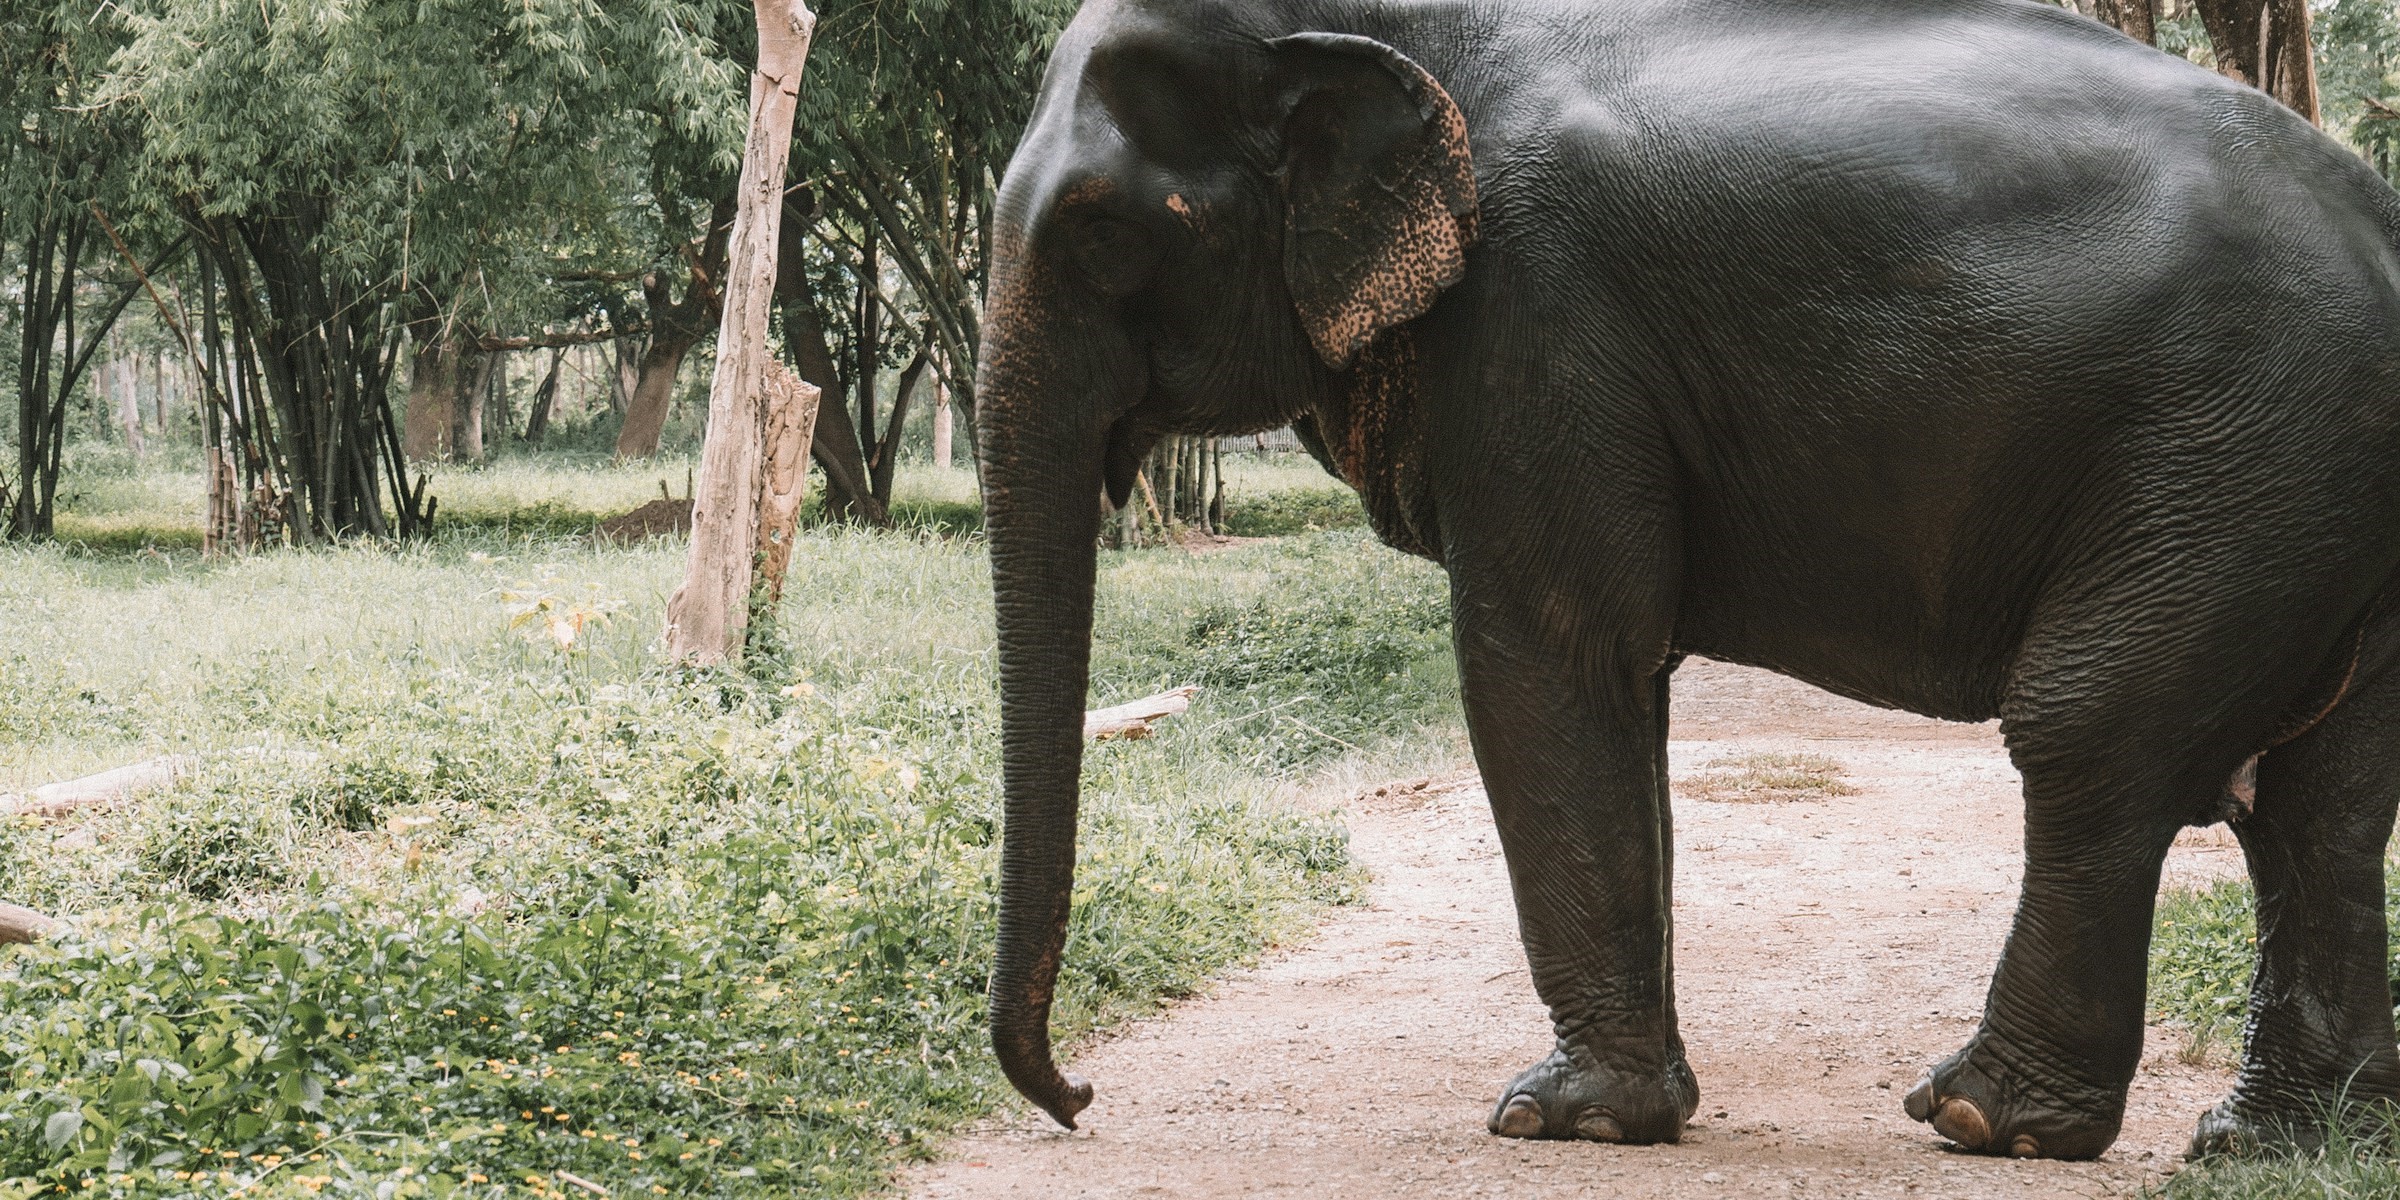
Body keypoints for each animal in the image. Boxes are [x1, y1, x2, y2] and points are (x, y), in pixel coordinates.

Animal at [964, 0, 2400, 1161]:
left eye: (1100, 232)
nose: (1079, 1099)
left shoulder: (1538, 315)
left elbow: (1550, 655)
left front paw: (1565, 1119)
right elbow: (1619, 675)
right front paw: (1631, 1111)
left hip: (2235, 451)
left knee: (2092, 733)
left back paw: (1985, 1118)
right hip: (2309, 486)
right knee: (2321, 801)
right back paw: (2270, 1141)